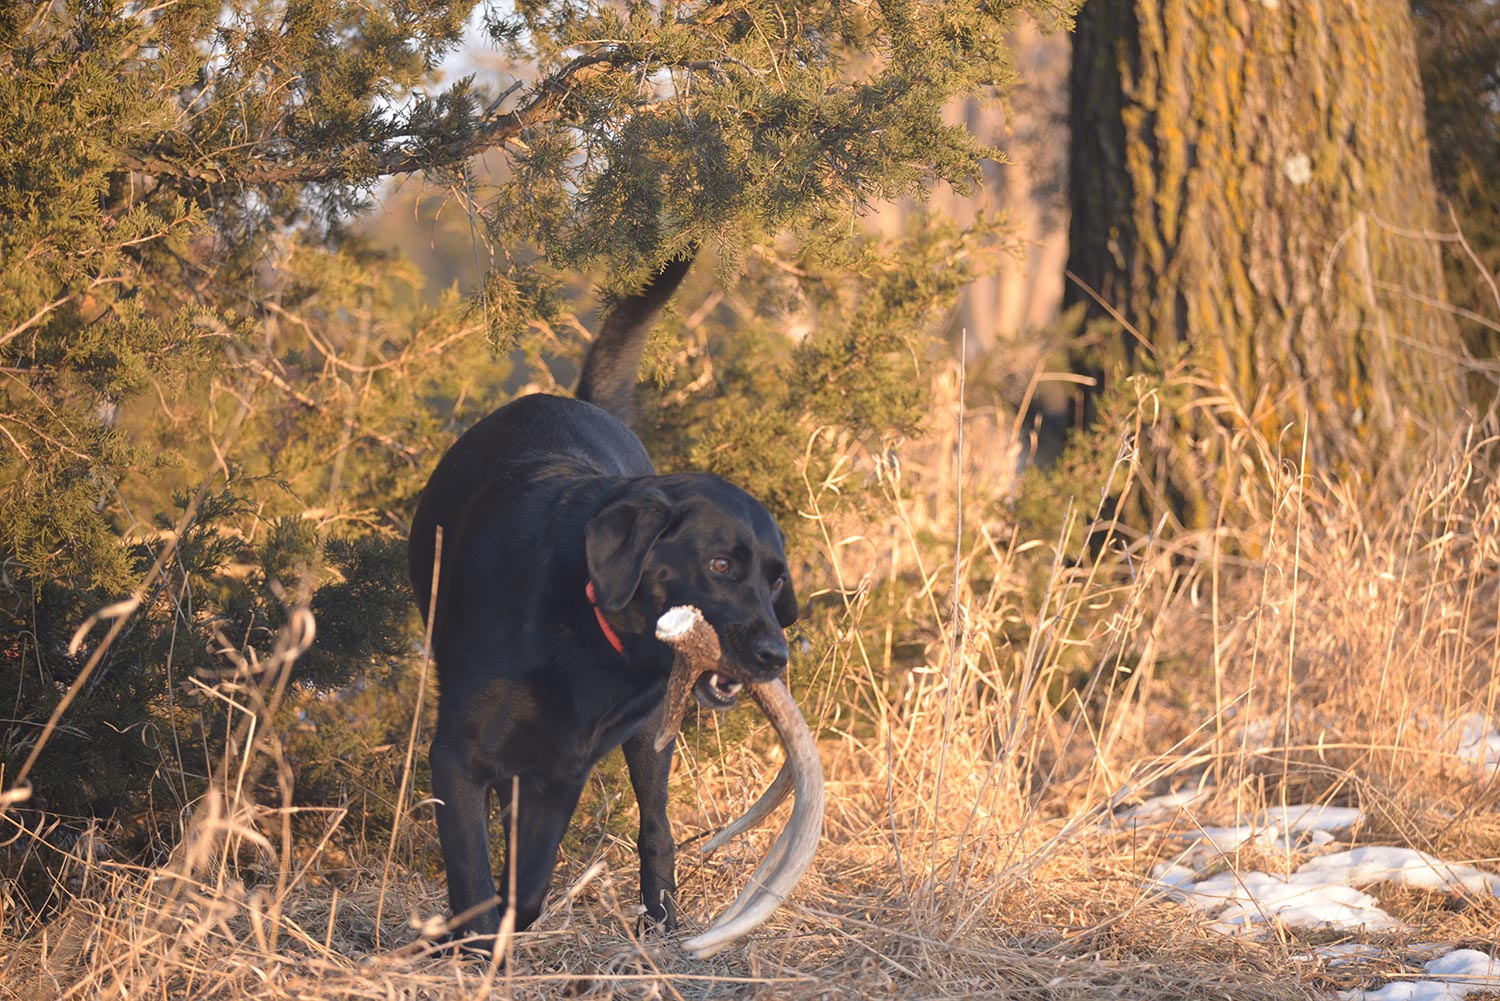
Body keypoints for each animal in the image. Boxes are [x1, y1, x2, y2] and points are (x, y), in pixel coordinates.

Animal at [411, 258, 798, 948]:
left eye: (777, 580)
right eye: (721, 565)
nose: (774, 656)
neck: (585, 635)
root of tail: (578, 401)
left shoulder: (563, 774)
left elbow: (528, 887)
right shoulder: (457, 757)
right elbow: (475, 882)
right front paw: (473, 948)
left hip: (650, 737)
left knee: (657, 828)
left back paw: (664, 922)